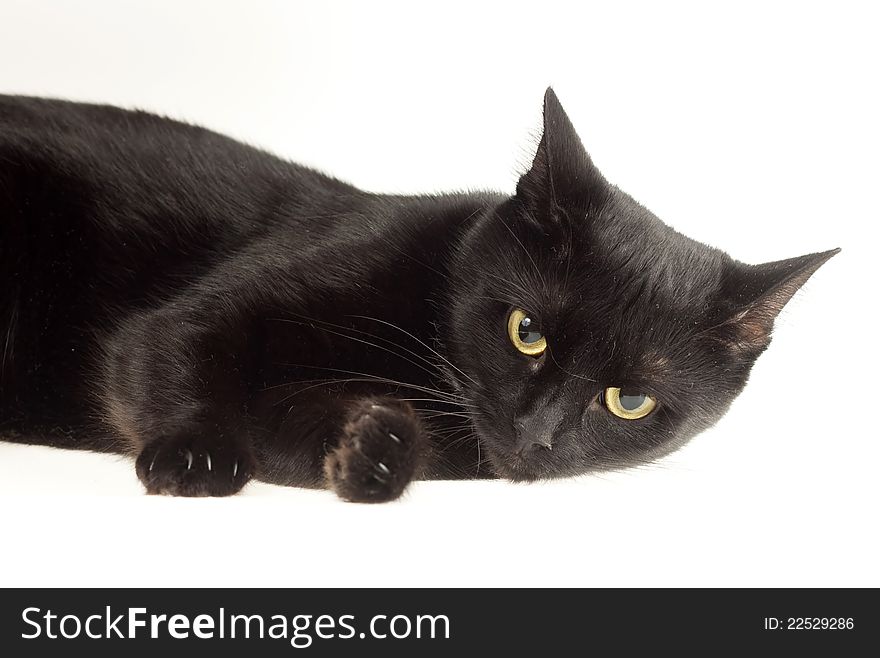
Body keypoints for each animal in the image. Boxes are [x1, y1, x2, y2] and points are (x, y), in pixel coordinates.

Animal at [0, 87, 840, 498]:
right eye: (526, 331)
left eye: (629, 401)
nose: (535, 435)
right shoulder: (202, 313)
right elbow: (177, 350)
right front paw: (196, 455)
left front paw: (373, 452)